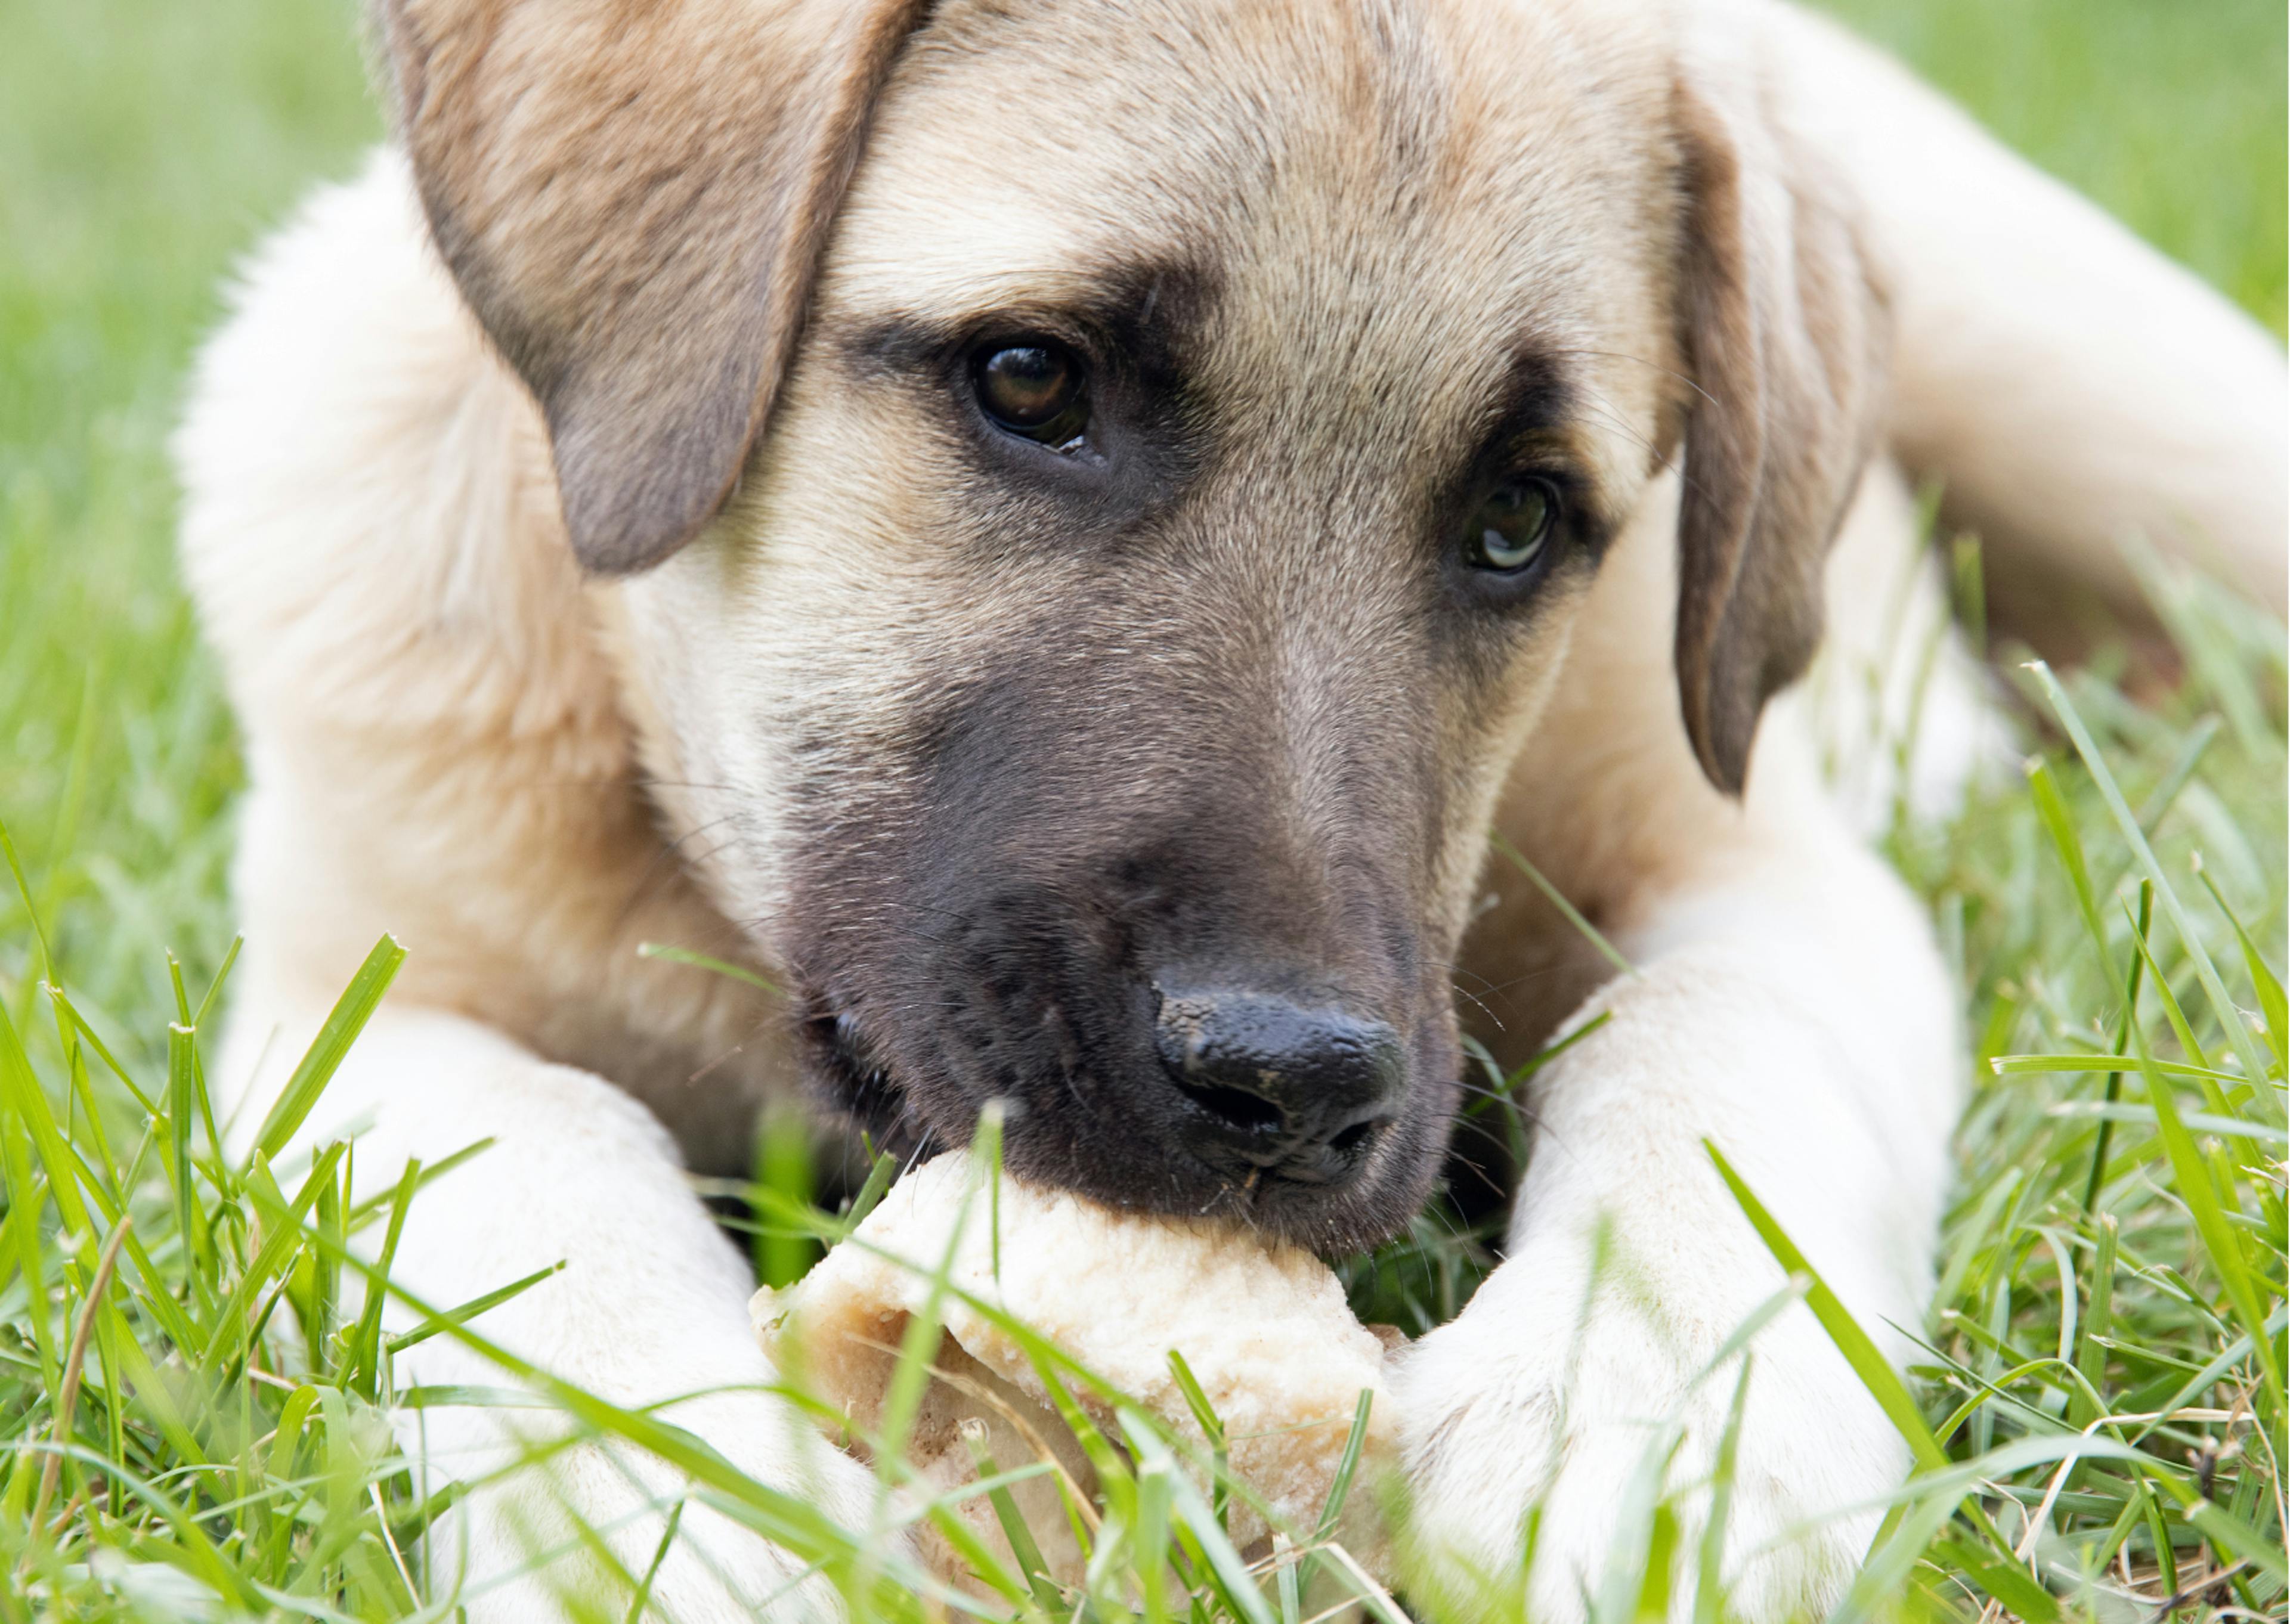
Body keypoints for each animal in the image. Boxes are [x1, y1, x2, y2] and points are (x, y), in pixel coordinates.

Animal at [169, 0, 2280, 1612]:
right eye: (1033, 380)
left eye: (1520, 519)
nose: (1289, 1084)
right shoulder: (352, 999)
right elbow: (524, 1164)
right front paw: (663, 1501)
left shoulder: (1756, 863)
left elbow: (1718, 1065)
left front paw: (1654, 1424)